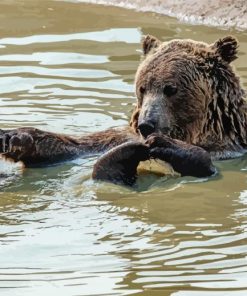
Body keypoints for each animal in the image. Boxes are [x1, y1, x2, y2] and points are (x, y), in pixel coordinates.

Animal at [0, 34, 247, 185]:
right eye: (143, 88)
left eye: (171, 89)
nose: (146, 124)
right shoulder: (120, 136)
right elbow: (79, 145)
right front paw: (14, 137)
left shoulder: (229, 150)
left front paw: (167, 145)